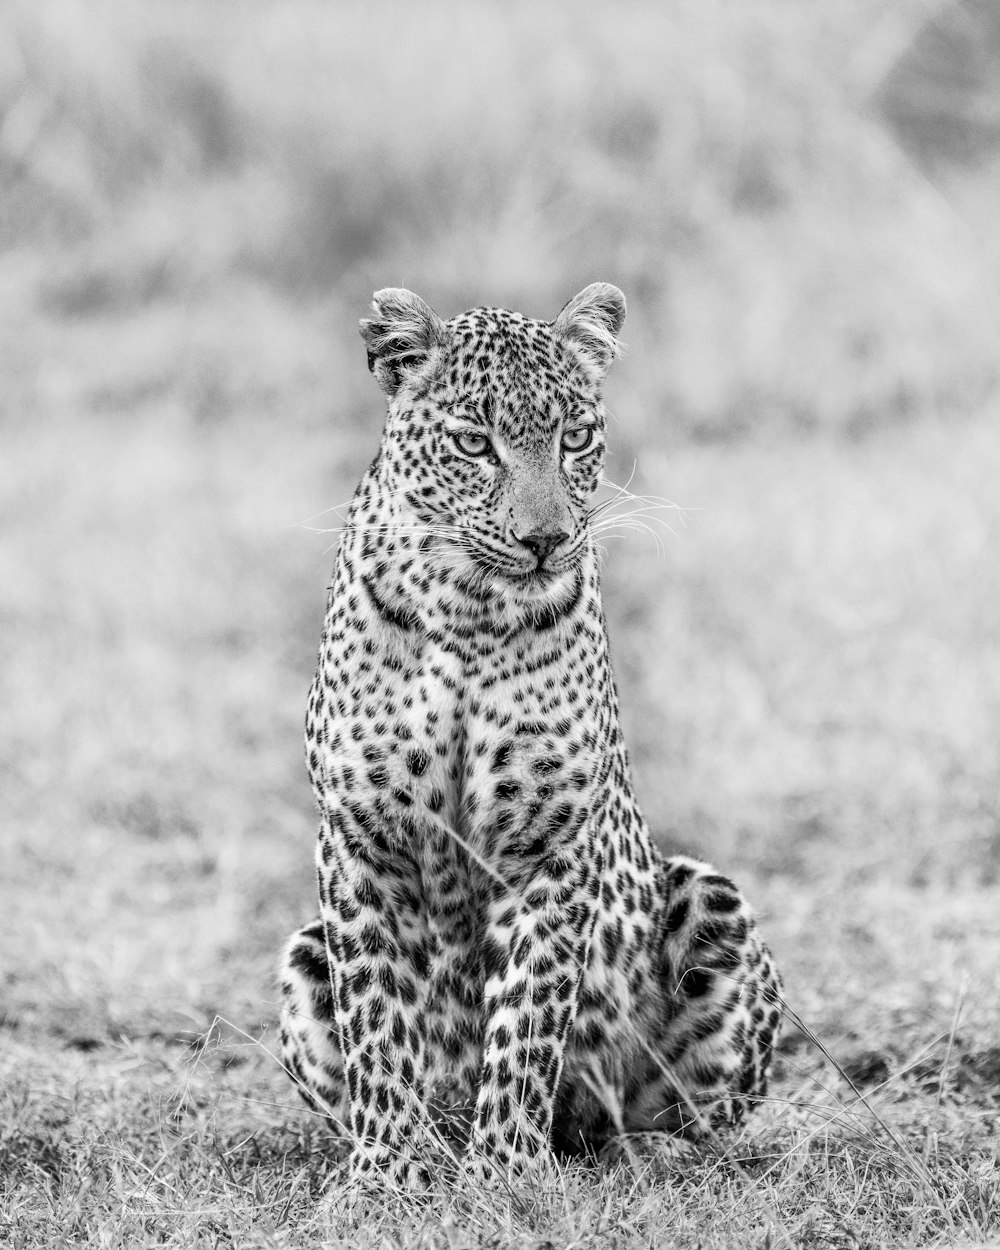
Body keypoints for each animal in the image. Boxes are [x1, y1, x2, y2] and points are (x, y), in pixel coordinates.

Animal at [277, 283, 785, 1190]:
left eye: (574, 437)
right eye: (474, 443)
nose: (544, 539)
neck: (466, 609)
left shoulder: (549, 842)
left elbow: (526, 1017)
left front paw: (506, 1174)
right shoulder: (361, 837)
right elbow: (377, 1021)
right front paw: (382, 1174)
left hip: (708, 898)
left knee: (684, 1121)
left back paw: (639, 1153)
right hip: (302, 954)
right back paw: (435, 1144)